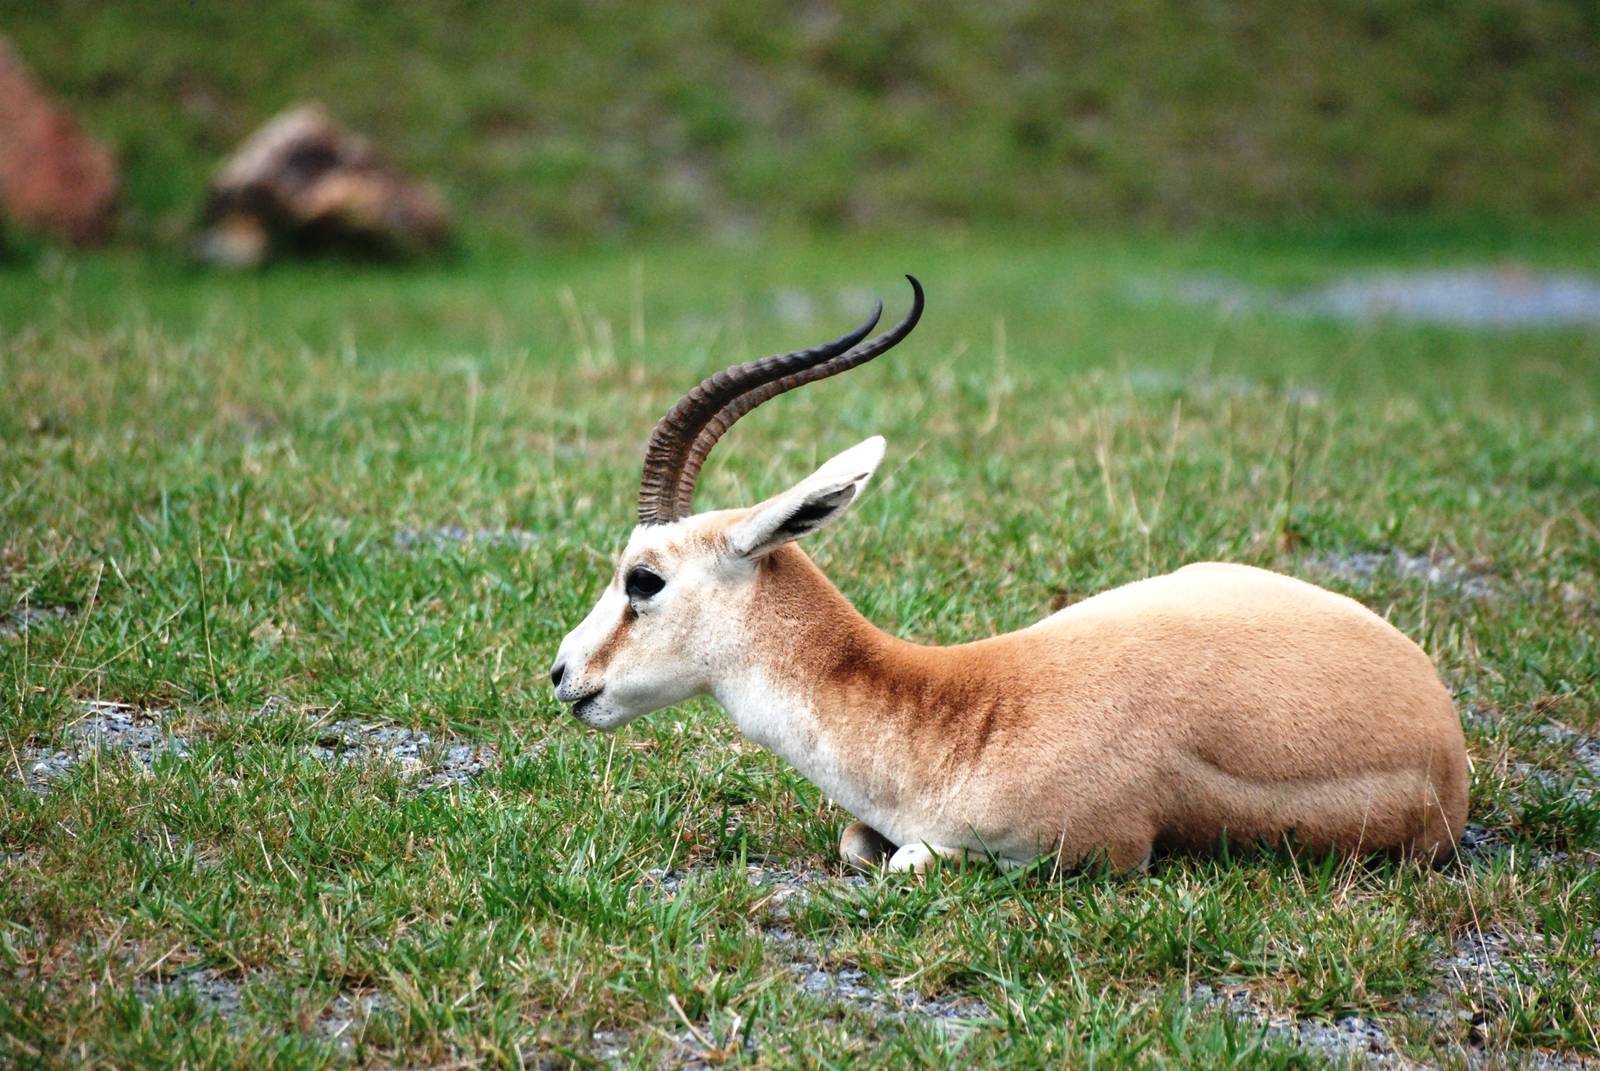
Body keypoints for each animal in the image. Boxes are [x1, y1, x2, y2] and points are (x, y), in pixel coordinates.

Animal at [551, 278, 1469, 873]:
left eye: (642, 579)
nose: (563, 672)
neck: (961, 717)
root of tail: (1439, 712)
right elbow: (859, 843)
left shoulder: (1090, 853)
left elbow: (908, 861)